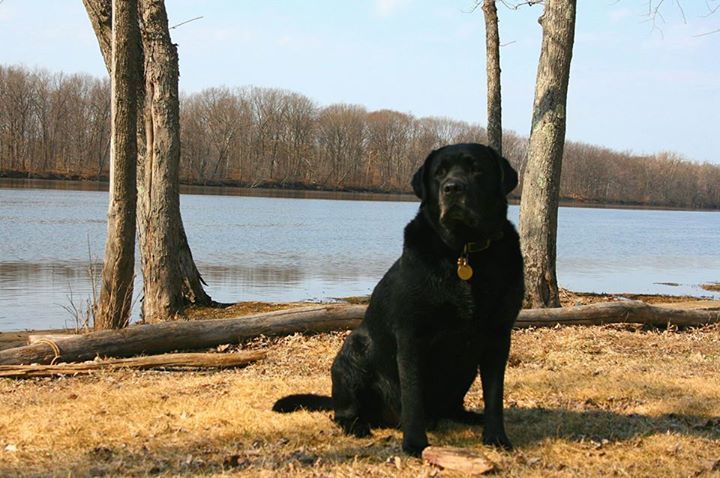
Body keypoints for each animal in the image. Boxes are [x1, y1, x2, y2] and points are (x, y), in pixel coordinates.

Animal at [274, 143, 524, 456]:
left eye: (476, 168)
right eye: (439, 173)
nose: (452, 188)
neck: (463, 253)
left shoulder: (498, 336)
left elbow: (495, 394)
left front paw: (497, 437)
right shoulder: (411, 336)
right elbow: (413, 396)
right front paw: (415, 444)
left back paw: (467, 417)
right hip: (351, 353)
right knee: (343, 413)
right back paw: (358, 426)